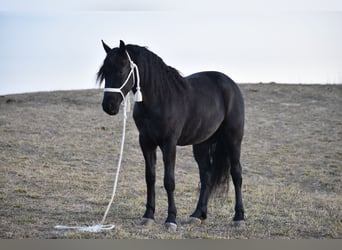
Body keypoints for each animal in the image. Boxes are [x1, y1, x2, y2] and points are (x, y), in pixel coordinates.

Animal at [97, 40, 244, 230]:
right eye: (105, 72)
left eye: (121, 70)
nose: (109, 106)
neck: (159, 99)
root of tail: (230, 84)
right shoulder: (146, 142)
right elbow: (150, 178)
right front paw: (148, 215)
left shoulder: (169, 144)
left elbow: (169, 181)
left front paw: (171, 219)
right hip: (202, 143)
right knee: (206, 175)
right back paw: (198, 214)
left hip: (233, 138)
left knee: (236, 173)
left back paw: (239, 217)